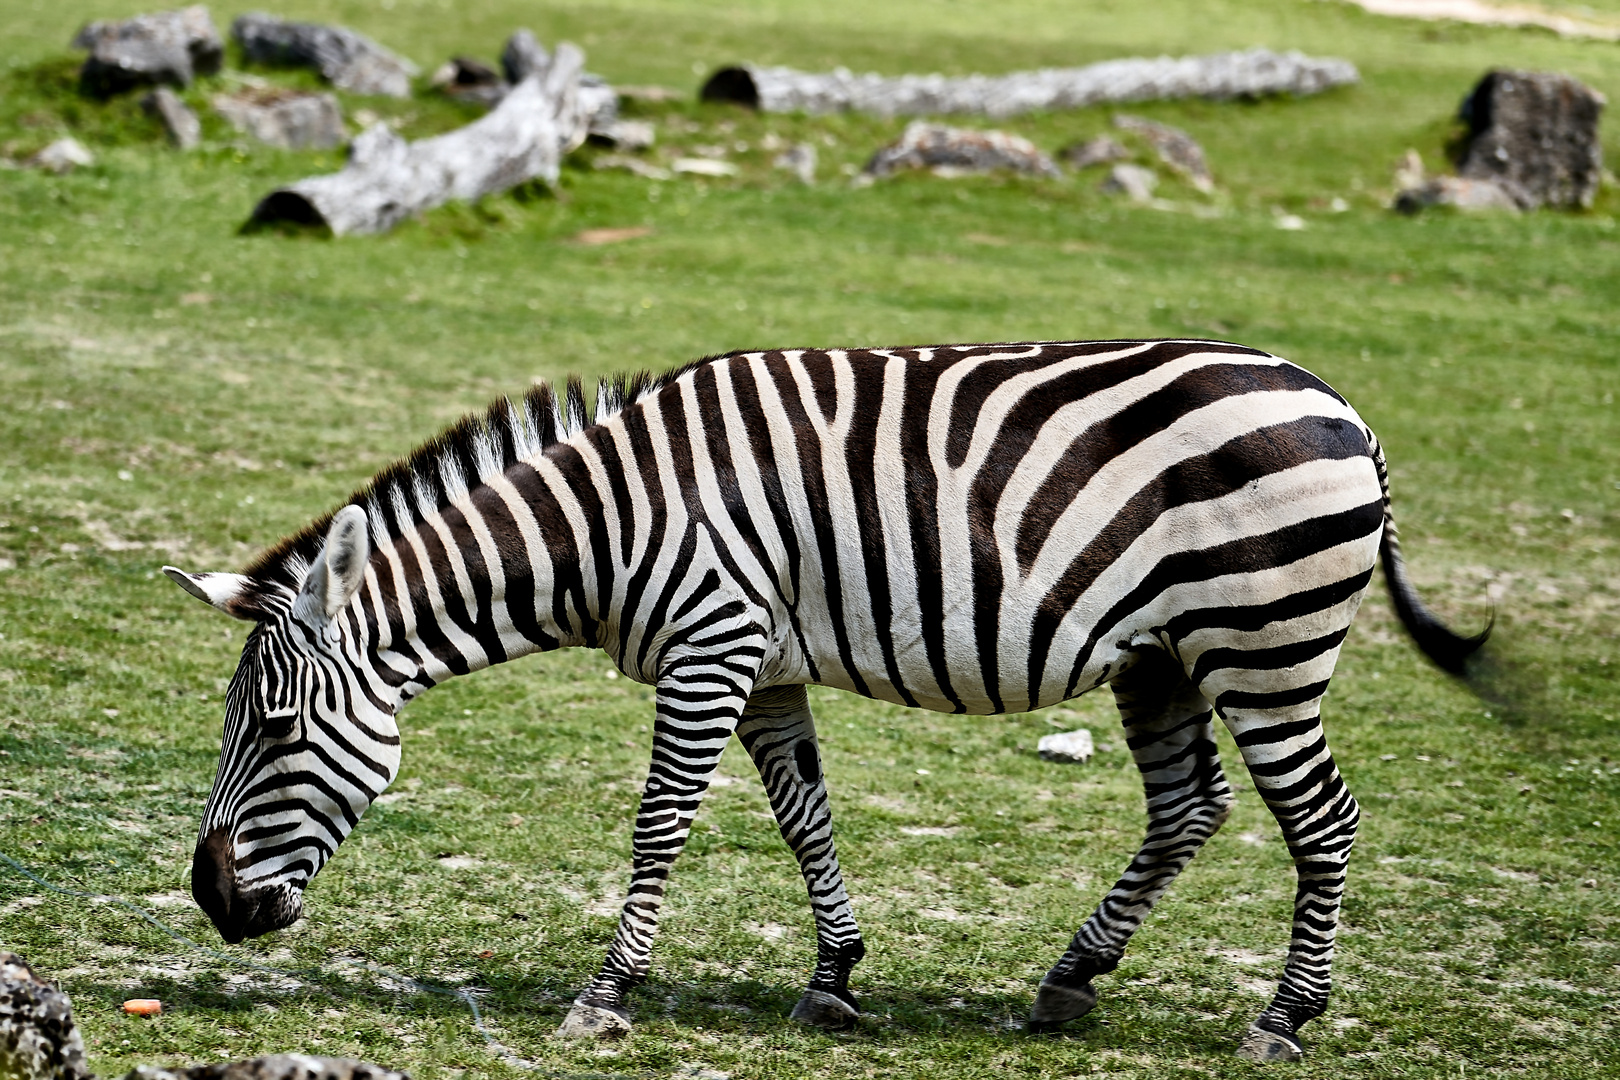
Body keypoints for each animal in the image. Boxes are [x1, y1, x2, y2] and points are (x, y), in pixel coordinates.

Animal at [161, 340, 1483, 1062]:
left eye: (274, 730)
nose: (212, 899)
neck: (608, 525)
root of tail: (1345, 411)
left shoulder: (710, 645)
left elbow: (660, 824)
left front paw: (605, 996)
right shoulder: (766, 666)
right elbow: (806, 818)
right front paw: (836, 977)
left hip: (1266, 643)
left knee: (1323, 822)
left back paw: (1286, 1016)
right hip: (1163, 655)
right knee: (1190, 809)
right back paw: (1071, 979)